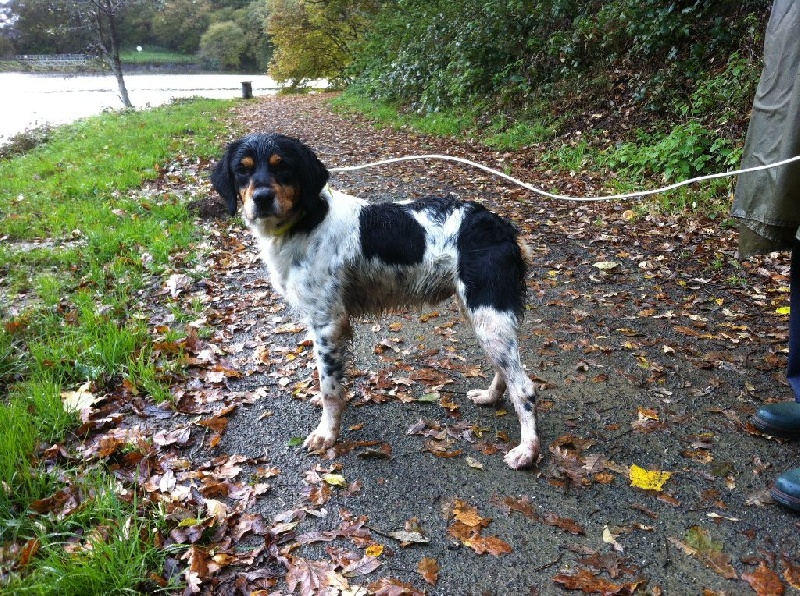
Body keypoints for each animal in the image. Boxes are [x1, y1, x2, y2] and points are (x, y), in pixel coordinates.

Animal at [212, 133, 540, 468]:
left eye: (283, 167)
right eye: (243, 169)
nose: (262, 198)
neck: (308, 221)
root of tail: (502, 227)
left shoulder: (327, 323)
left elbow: (329, 387)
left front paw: (327, 433)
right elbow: (332, 382)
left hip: (489, 315)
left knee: (524, 387)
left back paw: (527, 450)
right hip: (480, 315)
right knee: (505, 370)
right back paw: (490, 397)